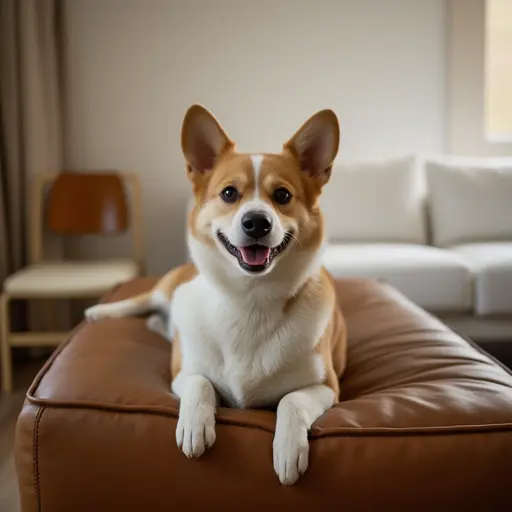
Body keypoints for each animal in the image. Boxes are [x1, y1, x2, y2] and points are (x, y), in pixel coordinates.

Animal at [85, 104, 348, 484]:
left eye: (283, 196)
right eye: (229, 194)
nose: (257, 223)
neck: (250, 300)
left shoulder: (327, 387)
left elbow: (291, 402)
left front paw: (288, 450)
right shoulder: (182, 373)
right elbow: (200, 384)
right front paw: (195, 425)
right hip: (167, 289)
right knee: (144, 299)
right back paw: (100, 312)